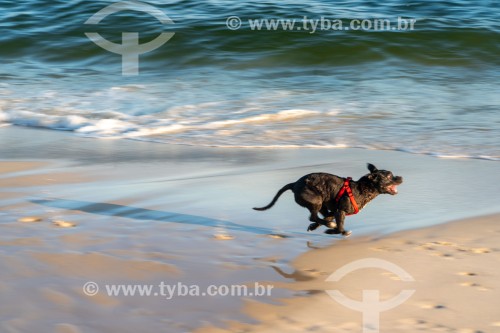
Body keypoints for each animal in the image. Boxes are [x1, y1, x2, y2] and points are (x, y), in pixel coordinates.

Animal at [254, 163, 402, 236]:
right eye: (389, 176)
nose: (401, 177)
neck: (362, 188)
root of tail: (294, 184)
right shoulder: (340, 211)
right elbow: (340, 226)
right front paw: (335, 231)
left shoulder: (335, 210)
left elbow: (329, 218)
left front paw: (317, 227)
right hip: (316, 200)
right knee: (313, 216)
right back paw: (328, 225)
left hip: (322, 204)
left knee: (318, 217)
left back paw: (322, 224)